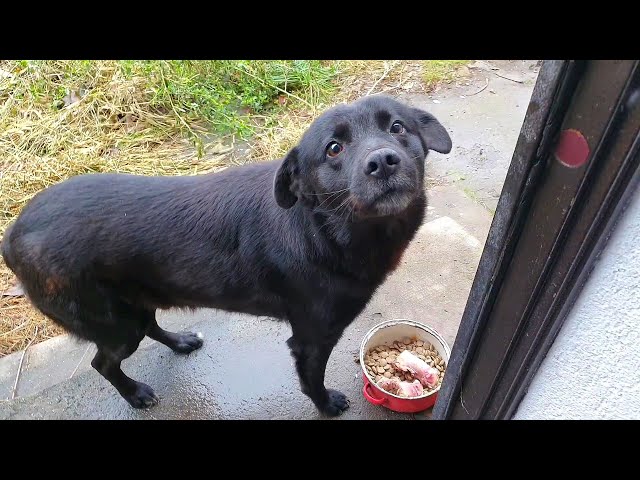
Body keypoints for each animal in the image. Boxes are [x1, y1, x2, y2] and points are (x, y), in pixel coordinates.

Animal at [1, 94, 450, 416]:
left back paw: (181, 341)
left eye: (397, 127)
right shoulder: (311, 338)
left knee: (149, 325)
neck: (323, 228)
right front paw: (326, 406)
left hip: (136, 303)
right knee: (103, 364)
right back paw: (136, 394)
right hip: (114, 324)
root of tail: (12, 235)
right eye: (334, 149)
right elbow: (312, 381)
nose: (383, 161)